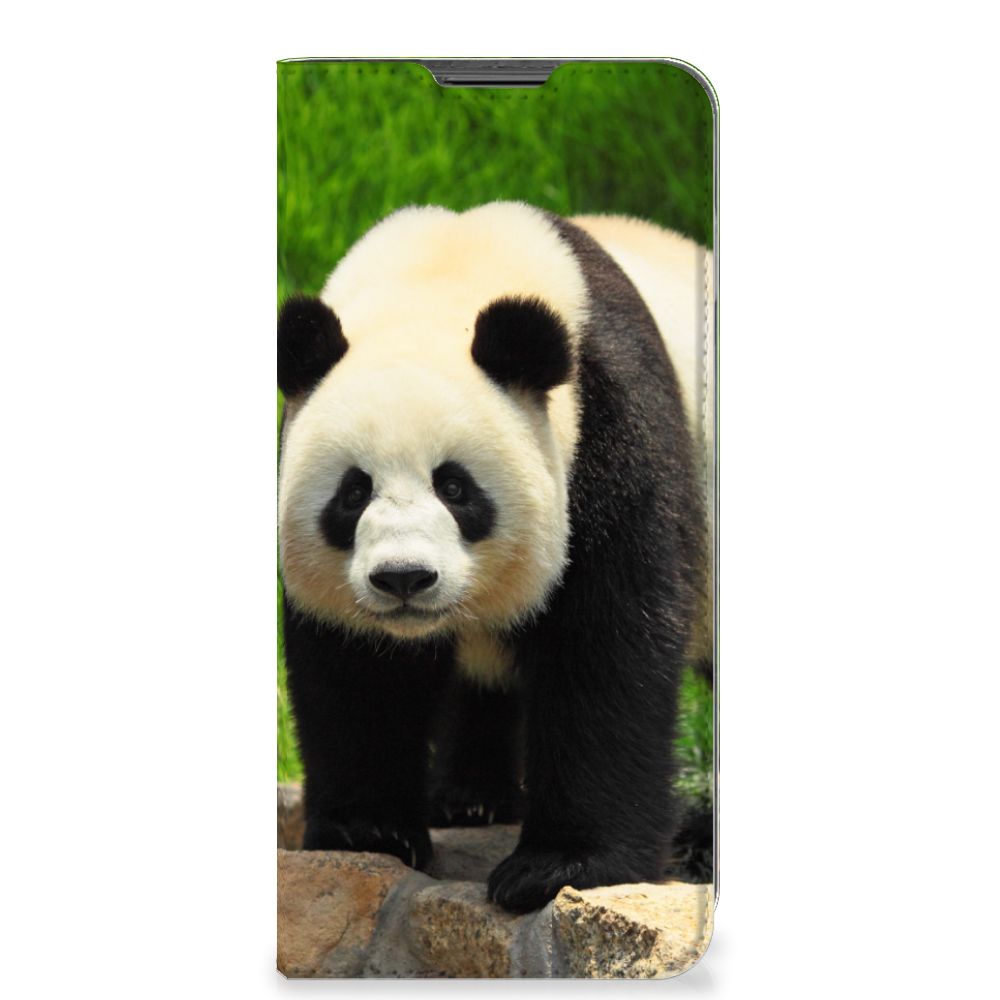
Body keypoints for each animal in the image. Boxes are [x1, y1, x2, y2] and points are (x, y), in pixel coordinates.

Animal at [278, 201, 711, 914]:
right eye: (353, 491)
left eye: (455, 487)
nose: (404, 578)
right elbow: (355, 670)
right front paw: (369, 831)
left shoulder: (611, 431)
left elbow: (608, 644)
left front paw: (559, 867)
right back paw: (469, 798)